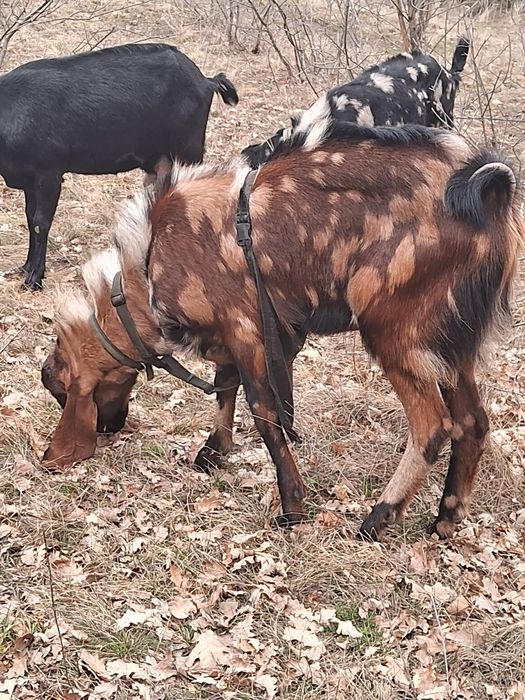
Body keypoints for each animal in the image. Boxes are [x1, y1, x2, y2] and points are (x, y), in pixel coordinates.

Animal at [0, 42, 239, 290]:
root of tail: (205, 81)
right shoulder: (29, 180)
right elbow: (30, 218)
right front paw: (26, 267)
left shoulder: (49, 175)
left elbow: (40, 222)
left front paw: (34, 278)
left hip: (189, 150)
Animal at [41, 101, 523, 541]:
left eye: (61, 393)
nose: (108, 428)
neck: (147, 260)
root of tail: (487, 190)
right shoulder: (250, 335)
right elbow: (226, 389)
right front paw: (214, 451)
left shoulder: (246, 331)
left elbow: (264, 415)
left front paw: (292, 506)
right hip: (450, 347)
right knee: (473, 423)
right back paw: (445, 518)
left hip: (395, 335)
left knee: (433, 427)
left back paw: (378, 516)